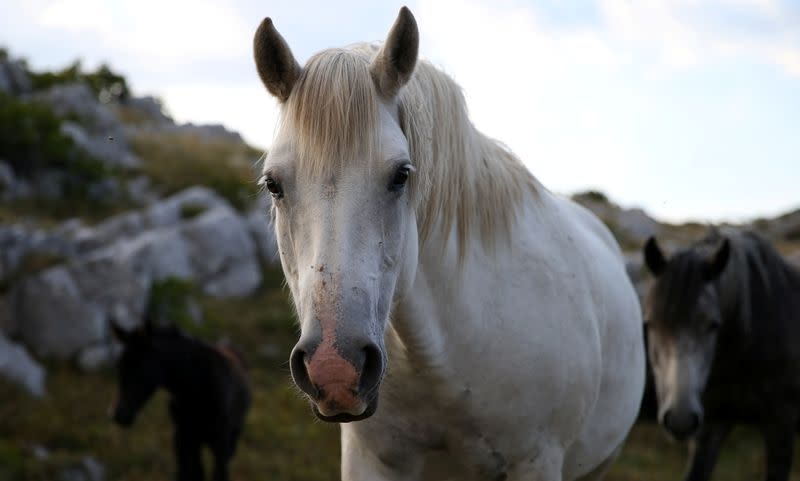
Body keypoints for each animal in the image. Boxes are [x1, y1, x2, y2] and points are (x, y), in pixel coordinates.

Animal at [111, 318, 250, 480]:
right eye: (119, 366)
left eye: (140, 370)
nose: (119, 415)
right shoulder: (183, 438)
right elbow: (189, 473)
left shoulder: (220, 441)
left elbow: (217, 474)